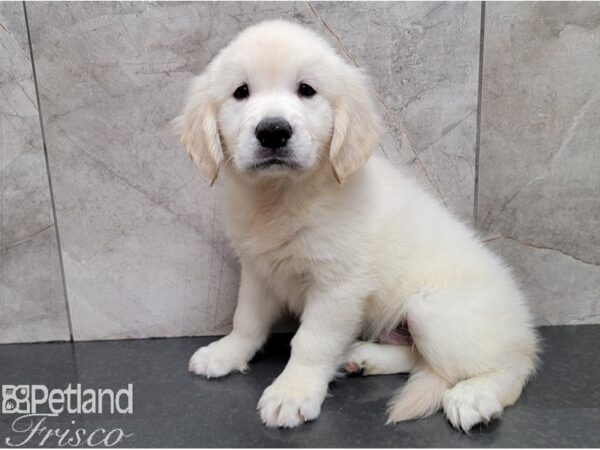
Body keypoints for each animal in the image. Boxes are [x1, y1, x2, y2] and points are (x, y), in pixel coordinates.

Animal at [175, 19, 540, 430]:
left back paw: (475, 396)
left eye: (307, 90)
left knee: (507, 366)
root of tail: (523, 326)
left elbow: (311, 342)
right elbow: (247, 319)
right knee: (420, 357)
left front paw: (292, 392)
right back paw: (363, 357)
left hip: (434, 310)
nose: (273, 131)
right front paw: (226, 353)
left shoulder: (338, 287)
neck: (282, 197)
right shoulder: (258, 270)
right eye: (241, 92)